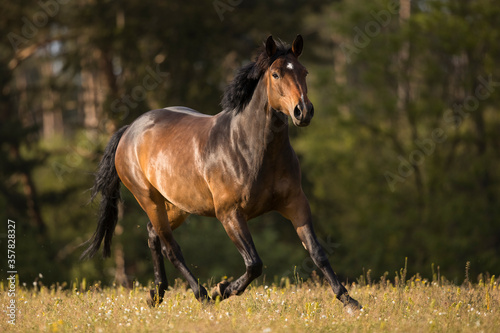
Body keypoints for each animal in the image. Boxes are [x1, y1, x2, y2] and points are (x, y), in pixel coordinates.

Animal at [82, 35, 364, 310]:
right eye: (276, 74)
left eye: (304, 72)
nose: (303, 111)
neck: (249, 148)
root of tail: (130, 129)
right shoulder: (230, 214)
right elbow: (254, 263)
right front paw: (223, 289)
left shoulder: (295, 203)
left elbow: (317, 252)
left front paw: (349, 301)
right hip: (149, 199)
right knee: (170, 247)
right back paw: (202, 296)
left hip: (177, 205)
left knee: (154, 235)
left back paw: (157, 294)